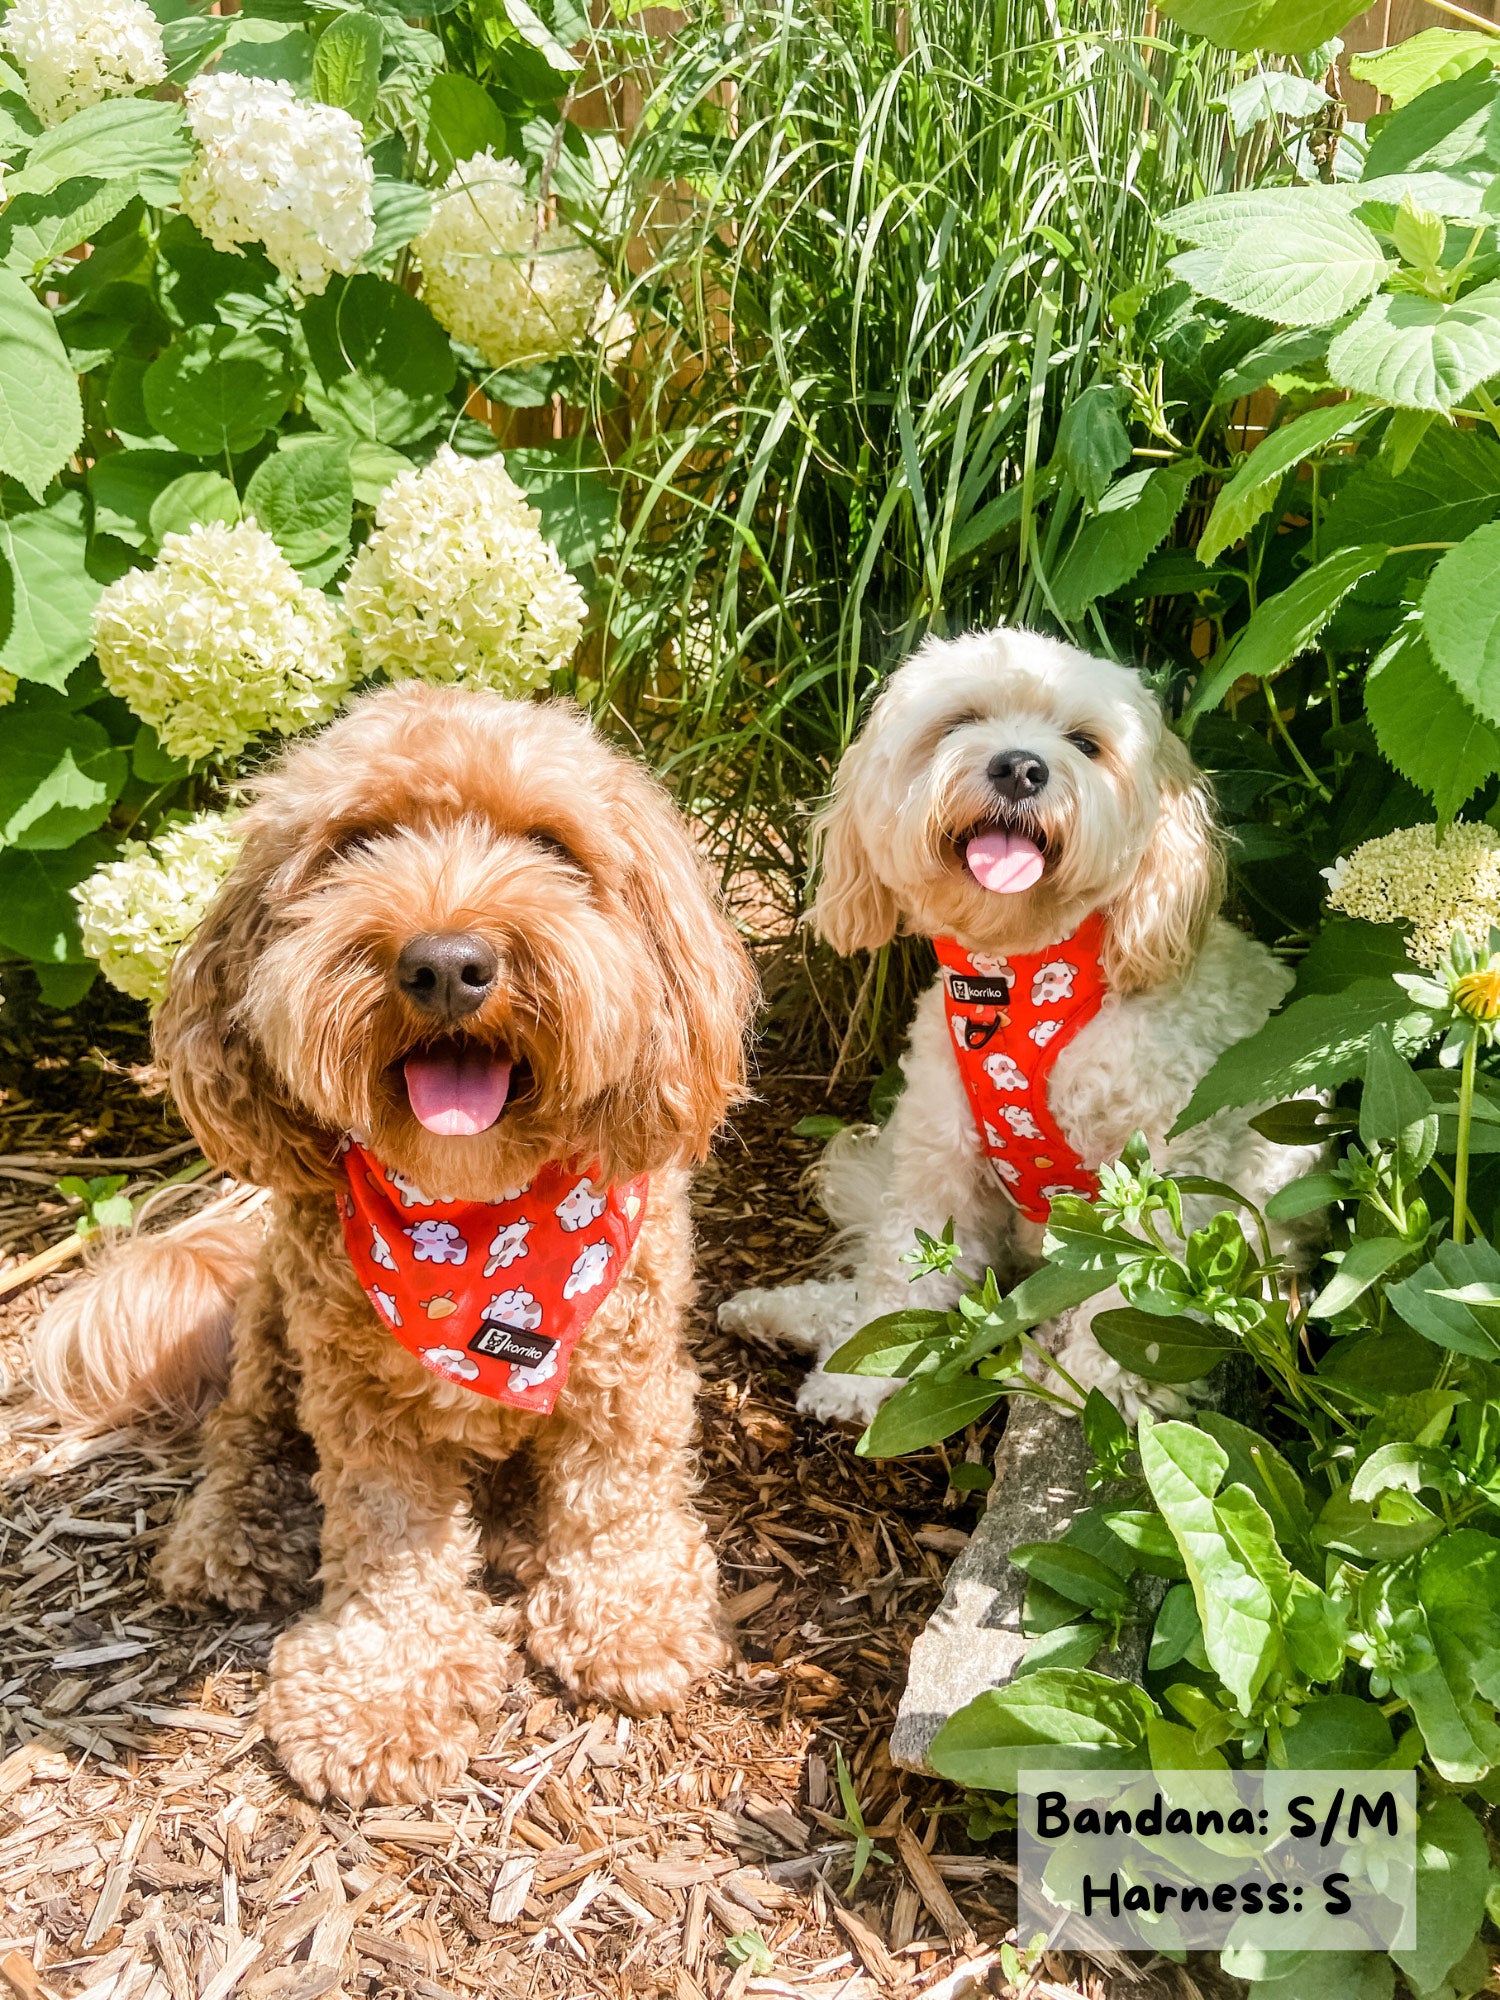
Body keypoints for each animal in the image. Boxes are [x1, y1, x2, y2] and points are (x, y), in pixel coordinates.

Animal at [32, 688, 764, 1816]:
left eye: (550, 844)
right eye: (356, 843)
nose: (448, 963)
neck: (480, 1219)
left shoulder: (629, 1367)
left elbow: (618, 1493)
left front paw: (629, 1616)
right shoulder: (361, 1401)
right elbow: (387, 1538)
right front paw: (381, 1692)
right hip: (275, 1325)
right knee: (246, 1436)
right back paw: (232, 1537)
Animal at [724, 624, 1320, 1424]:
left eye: (1086, 743)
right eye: (962, 720)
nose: (1021, 767)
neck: (1018, 979)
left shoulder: (1173, 1163)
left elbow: (1143, 1288)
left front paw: (1099, 1385)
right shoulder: (940, 1155)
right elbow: (900, 1276)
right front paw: (861, 1374)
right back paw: (787, 1314)